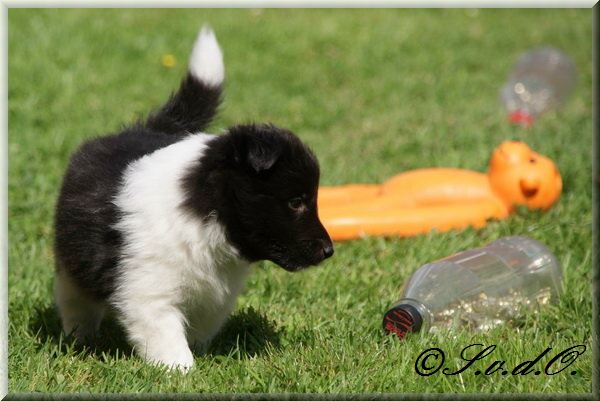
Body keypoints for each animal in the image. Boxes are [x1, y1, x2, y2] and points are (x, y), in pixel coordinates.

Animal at [53, 26, 334, 370]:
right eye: (296, 202)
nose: (329, 251)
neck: (206, 209)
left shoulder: (217, 291)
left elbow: (203, 322)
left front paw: (202, 353)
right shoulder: (149, 291)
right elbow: (166, 334)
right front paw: (181, 370)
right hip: (72, 261)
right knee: (75, 297)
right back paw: (79, 336)